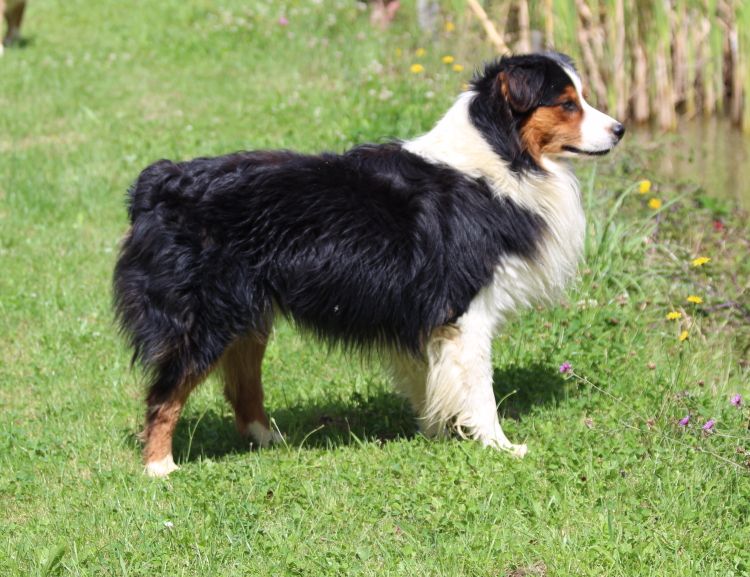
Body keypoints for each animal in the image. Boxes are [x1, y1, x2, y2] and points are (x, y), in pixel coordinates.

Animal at [114, 51, 624, 474]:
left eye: (581, 98)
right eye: (567, 104)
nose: (620, 129)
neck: (500, 153)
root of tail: (159, 183)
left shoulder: (426, 316)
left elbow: (433, 379)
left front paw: (438, 432)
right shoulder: (466, 310)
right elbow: (479, 388)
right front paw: (499, 445)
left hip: (246, 312)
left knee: (242, 385)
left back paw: (270, 440)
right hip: (205, 316)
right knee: (167, 392)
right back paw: (159, 466)